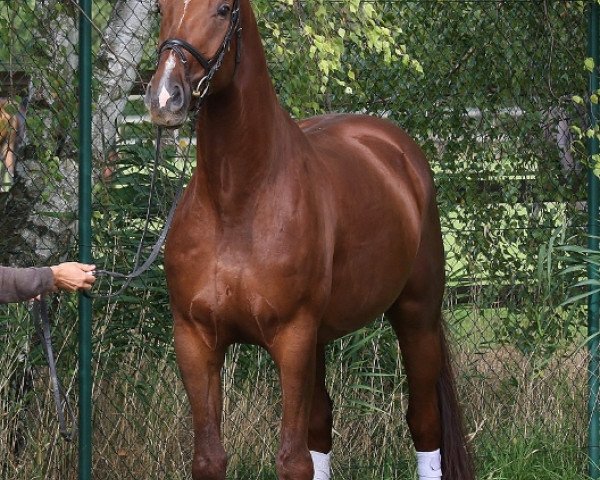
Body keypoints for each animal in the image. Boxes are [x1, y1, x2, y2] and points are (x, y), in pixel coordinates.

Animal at [144, 0, 474, 480]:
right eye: (160, 9)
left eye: (223, 9)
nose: (165, 96)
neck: (237, 202)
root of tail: (400, 151)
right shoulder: (195, 339)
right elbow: (210, 458)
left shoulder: (293, 337)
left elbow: (292, 462)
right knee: (321, 424)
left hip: (417, 318)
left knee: (424, 421)